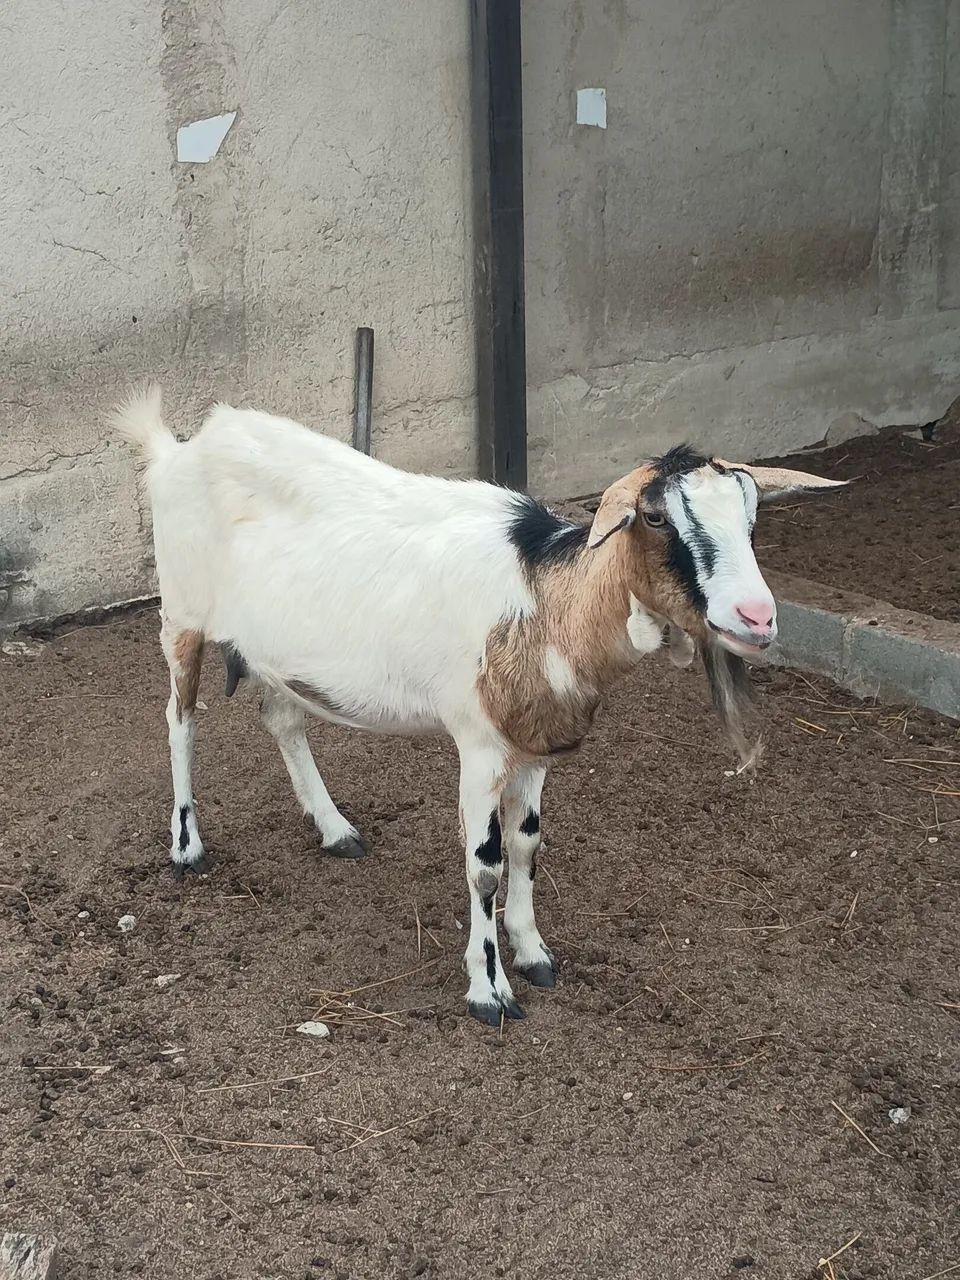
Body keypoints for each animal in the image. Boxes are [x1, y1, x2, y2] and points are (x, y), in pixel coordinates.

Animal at [110, 387, 845, 1023]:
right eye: (657, 516)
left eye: (751, 516)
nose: (757, 617)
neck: (544, 604)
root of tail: (180, 448)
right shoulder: (480, 745)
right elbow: (484, 865)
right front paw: (488, 988)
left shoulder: (535, 744)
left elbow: (527, 844)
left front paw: (533, 951)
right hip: (181, 613)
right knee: (179, 721)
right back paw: (187, 845)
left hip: (277, 651)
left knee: (283, 720)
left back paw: (335, 828)